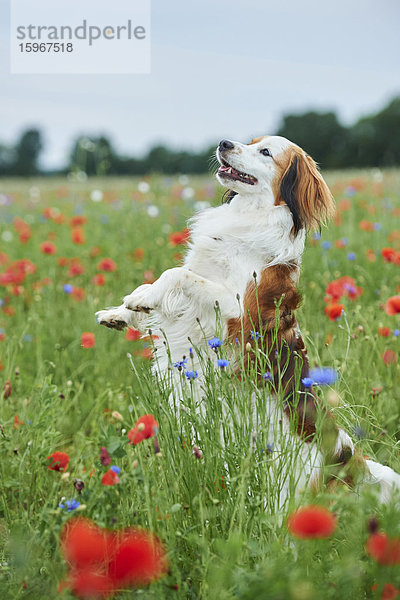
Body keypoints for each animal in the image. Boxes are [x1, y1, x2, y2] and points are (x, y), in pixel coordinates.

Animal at [97, 135, 400, 502]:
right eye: (252, 141)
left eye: (265, 152)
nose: (224, 142)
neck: (250, 216)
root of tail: (347, 456)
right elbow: (160, 282)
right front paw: (120, 312)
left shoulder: (235, 311)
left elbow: (175, 275)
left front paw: (141, 300)